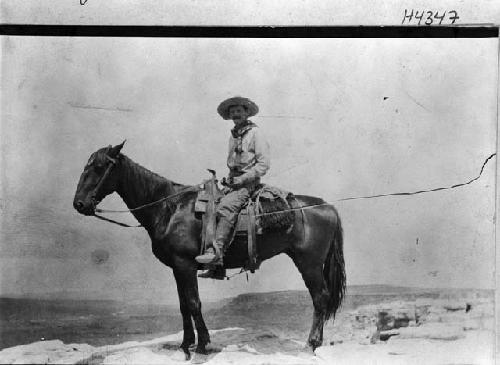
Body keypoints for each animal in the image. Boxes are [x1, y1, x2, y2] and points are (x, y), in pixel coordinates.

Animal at [71, 141, 344, 358]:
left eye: (98, 167)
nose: (79, 204)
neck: (170, 208)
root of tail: (327, 206)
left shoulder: (185, 264)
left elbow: (193, 303)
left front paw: (201, 345)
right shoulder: (178, 268)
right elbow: (183, 305)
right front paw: (186, 345)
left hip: (309, 263)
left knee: (320, 298)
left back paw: (312, 344)